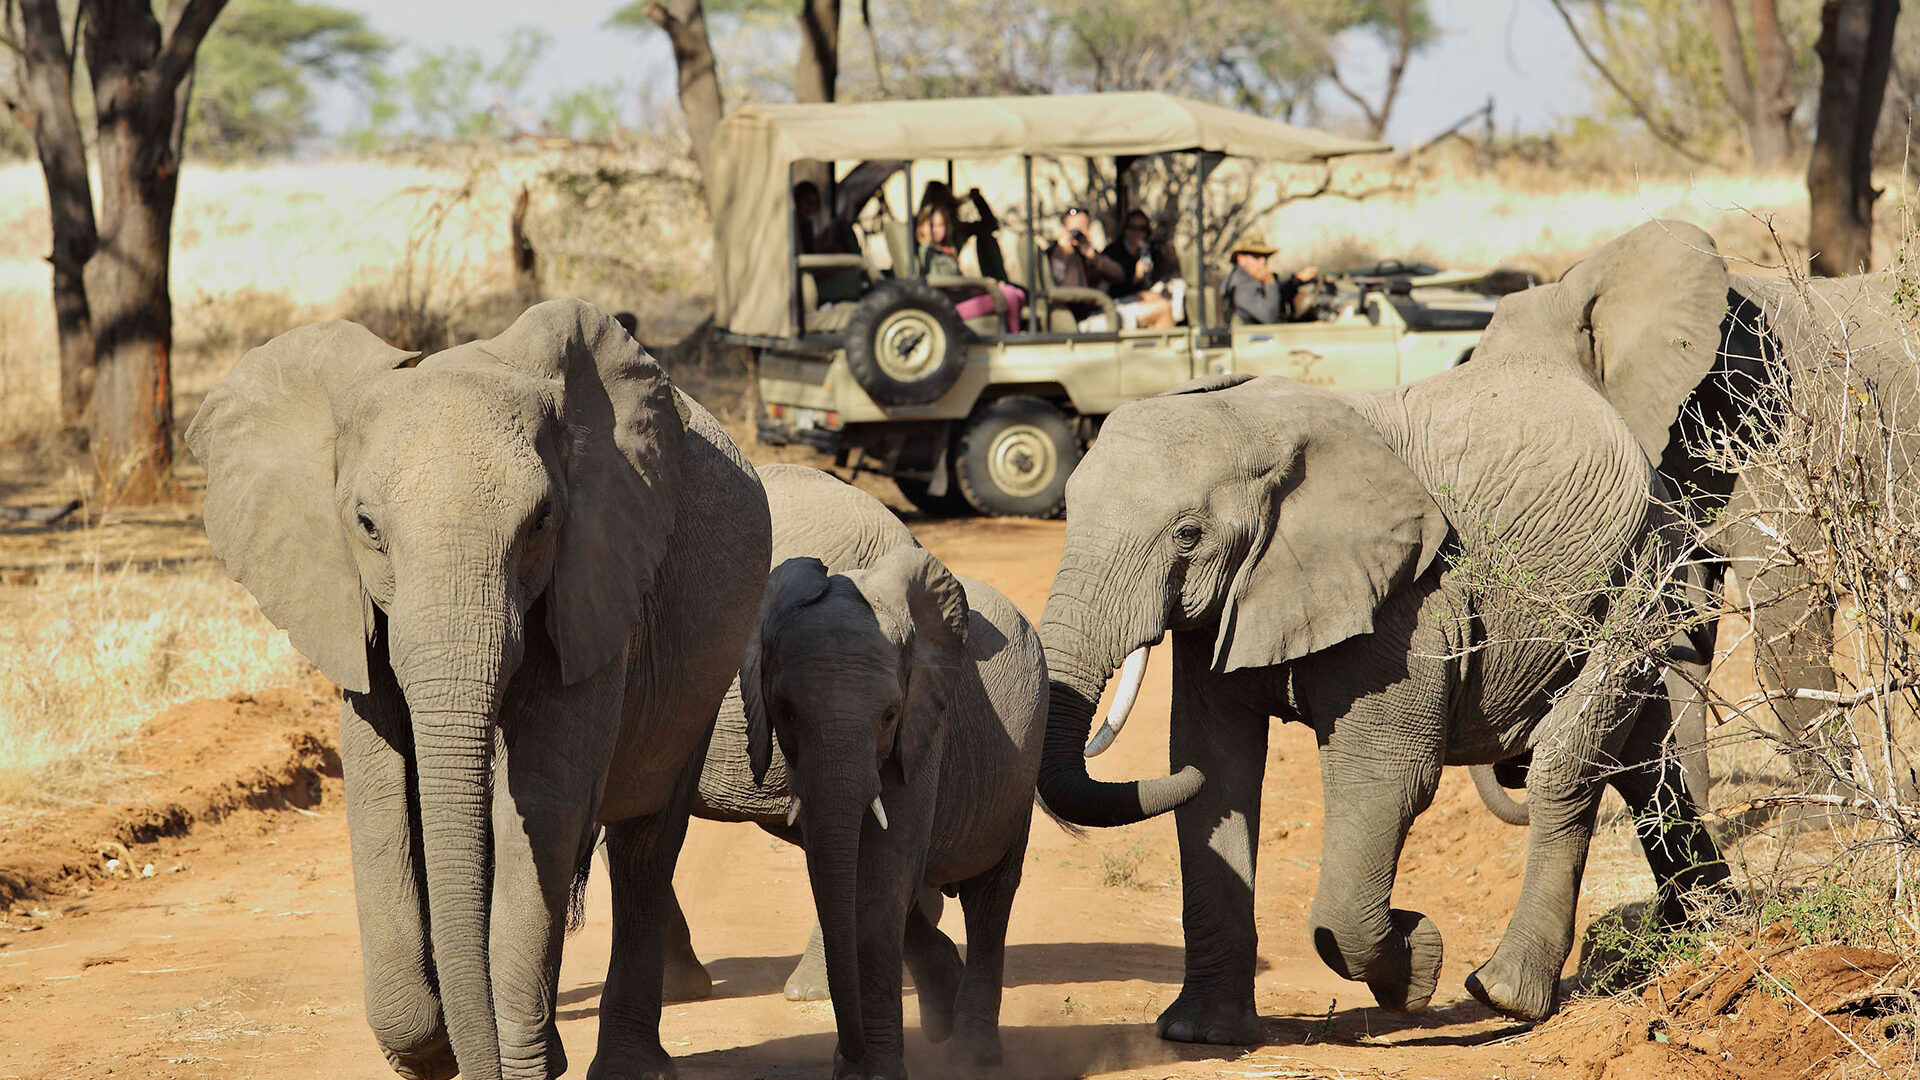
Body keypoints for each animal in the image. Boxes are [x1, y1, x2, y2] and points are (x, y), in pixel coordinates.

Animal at [186, 299, 772, 1080]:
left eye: (542, 521)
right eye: (366, 527)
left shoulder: (595, 580)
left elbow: (545, 797)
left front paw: (518, 1060)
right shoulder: (353, 610)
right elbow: (380, 788)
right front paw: (431, 1051)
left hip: (702, 670)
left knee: (645, 843)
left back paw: (620, 1062)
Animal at [744, 546, 1047, 1080]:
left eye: (889, 716)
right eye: (785, 711)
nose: (849, 1052)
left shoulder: (925, 730)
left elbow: (881, 883)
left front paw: (875, 1072)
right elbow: (840, 877)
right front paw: (852, 1066)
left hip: (1020, 772)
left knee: (990, 897)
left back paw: (971, 1055)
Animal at [1032, 234, 1738, 1037]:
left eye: (1187, 535)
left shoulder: (1408, 601)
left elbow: (1382, 775)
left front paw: (1417, 962)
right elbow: (1218, 767)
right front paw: (1200, 1033)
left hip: (1643, 567)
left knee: (1573, 754)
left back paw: (1505, 994)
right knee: (1641, 755)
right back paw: (1708, 934)